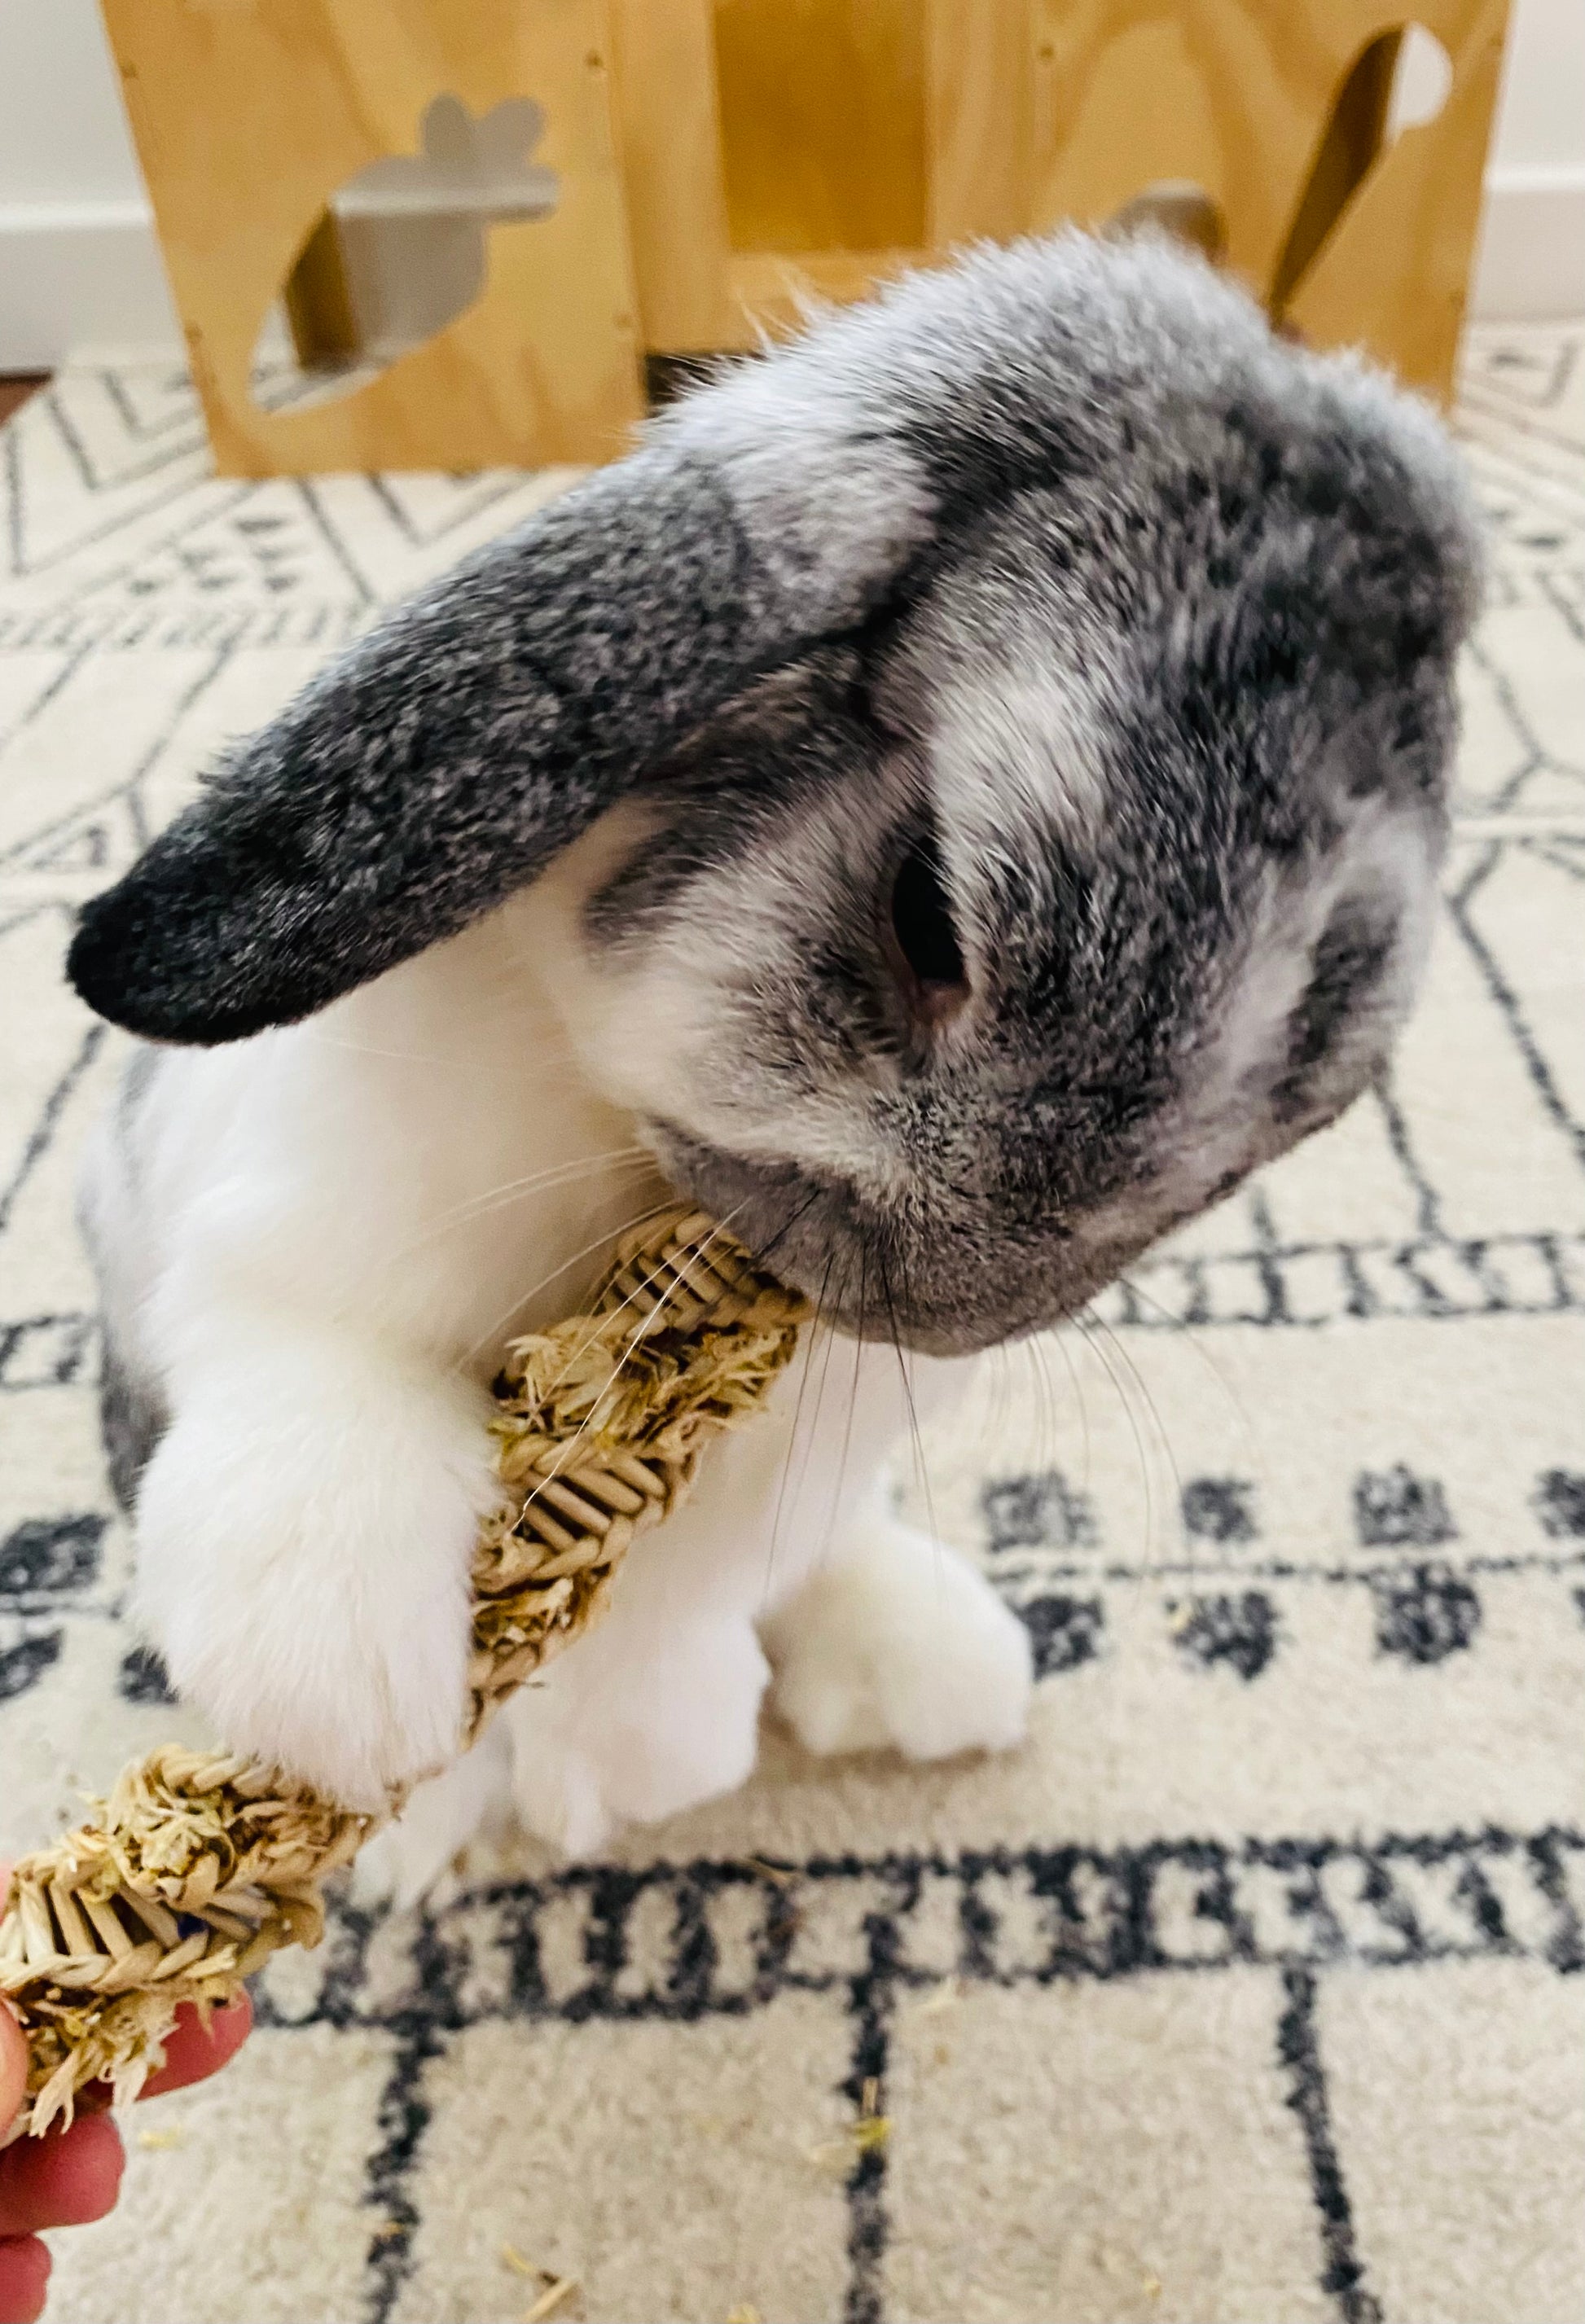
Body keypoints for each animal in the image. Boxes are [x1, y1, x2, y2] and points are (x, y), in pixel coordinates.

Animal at [67, 231, 1481, 1900]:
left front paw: (640, 1765)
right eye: (928, 912)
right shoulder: (294, 1238)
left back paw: (930, 1662)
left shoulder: (774, 1457)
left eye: (1282, 1122)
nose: (934, 1305)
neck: (619, 1150)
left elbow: (676, 1594)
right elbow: (321, 1408)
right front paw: (360, 1715)